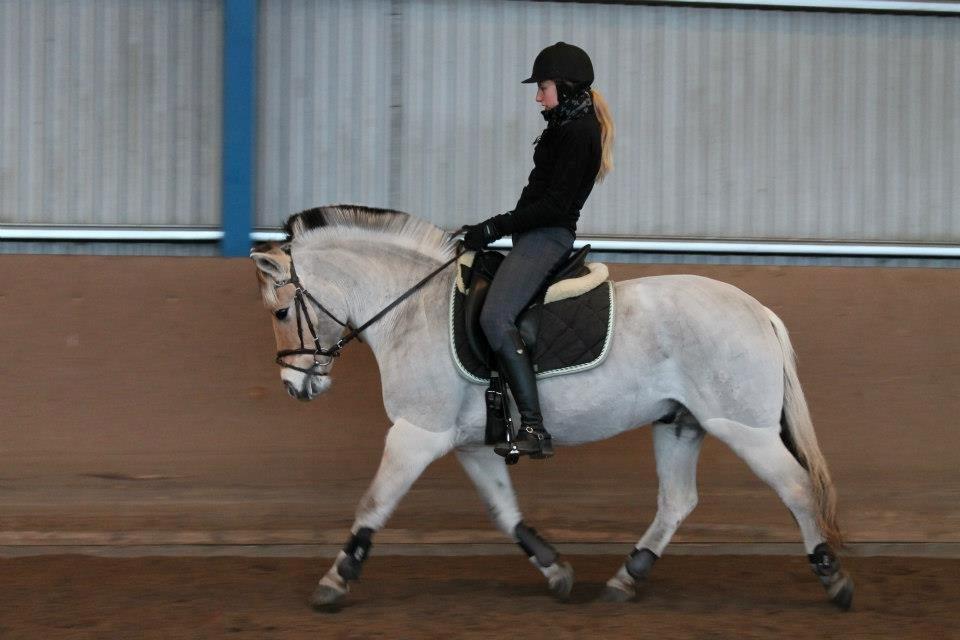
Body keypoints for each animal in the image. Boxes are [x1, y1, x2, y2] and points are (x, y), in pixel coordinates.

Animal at [249, 204, 856, 608]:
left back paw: (833, 579)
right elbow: (504, 512)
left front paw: (335, 579)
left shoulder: (415, 433)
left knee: (796, 488)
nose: (294, 386)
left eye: (280, 313)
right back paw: (626, 577)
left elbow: (374, 503)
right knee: (677, 501)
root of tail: (758, 311)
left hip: (744, 427)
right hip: (679, 424)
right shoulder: (471, 443)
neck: (413, 308)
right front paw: (556, 569)